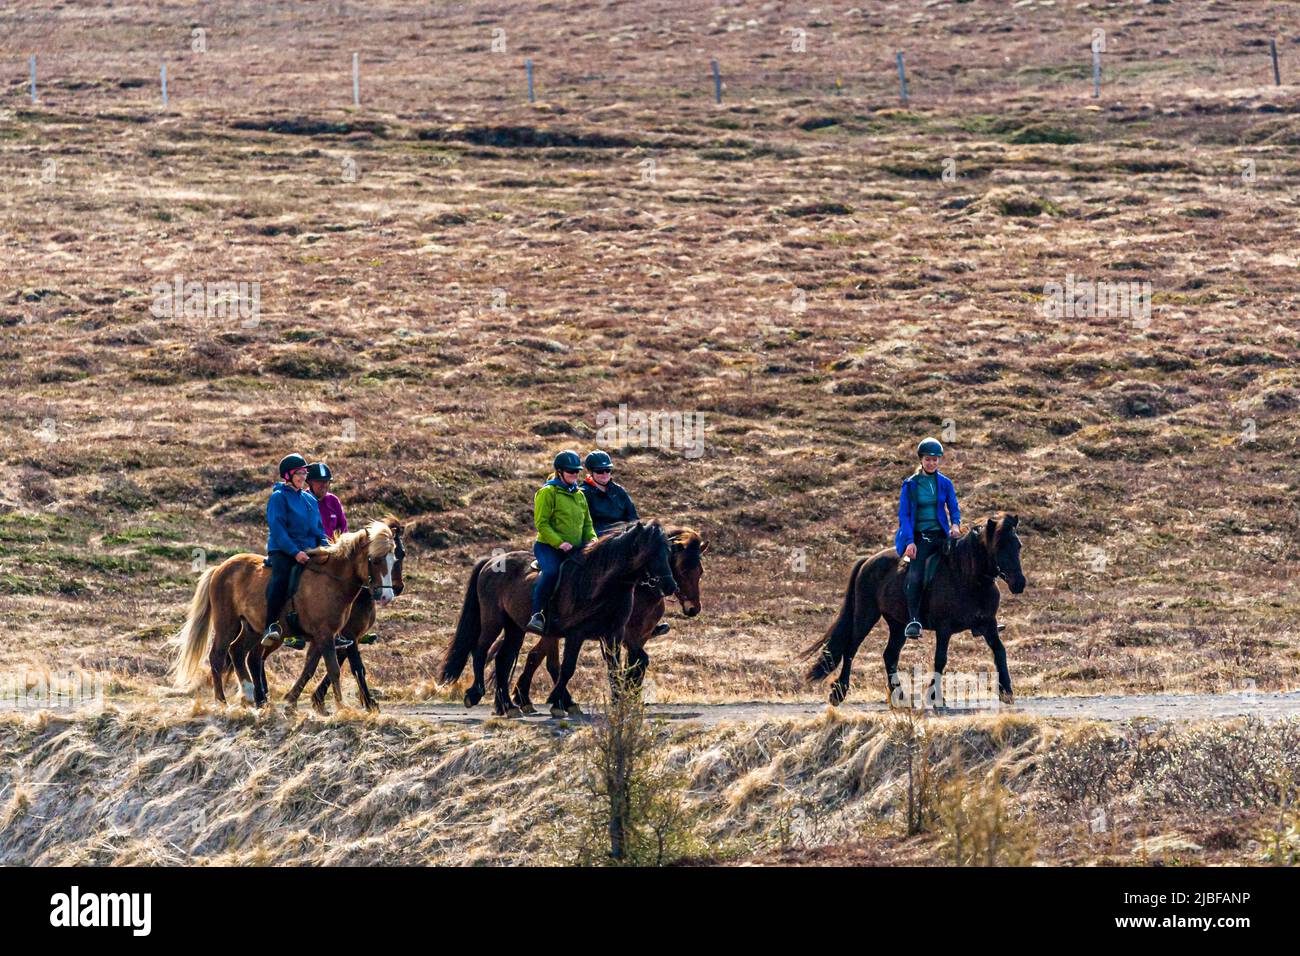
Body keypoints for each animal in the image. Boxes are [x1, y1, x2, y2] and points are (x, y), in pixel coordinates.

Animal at [170, 516, 405, 713]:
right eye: (374, 560)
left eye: (396, 559)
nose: (387, 595)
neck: (331, 581)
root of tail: (220, 568)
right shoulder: (327, 635)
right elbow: (336, 668)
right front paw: (343, 707)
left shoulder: (325, 637)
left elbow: (311, 668)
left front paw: (293, 701)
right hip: (227, 623)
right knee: (218, 656)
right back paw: (223, 702)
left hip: (254, 629)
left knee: (239, 652)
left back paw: (250, 694)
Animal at [439, 520, 678, 718]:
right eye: (648, 553)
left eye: (668, 551)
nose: (670, 586)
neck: (600, 583)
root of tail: (492, 561)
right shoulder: (576, 634)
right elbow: (567, 668)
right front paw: (558, 700)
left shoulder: (614, 635)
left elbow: (615, 668)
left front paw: (618, 702)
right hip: (493, 620)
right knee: (480, 650)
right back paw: (475, 693)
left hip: (515, 628)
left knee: (503, 659)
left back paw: (509, 706)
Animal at [507, 525, 706, 714]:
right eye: (683, 568)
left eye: (700, 571)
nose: (693, 608)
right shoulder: (624, 635)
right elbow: (636, 661)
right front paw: (626, 695)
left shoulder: (636, 636)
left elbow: (635, 663)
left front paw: (629, 696)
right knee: (549, 661)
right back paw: (554, 701)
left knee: (535, 655)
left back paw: (526, 698)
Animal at [803, 513, 1026, 708]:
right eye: (999, 546)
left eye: (1018, 545)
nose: (1019, 583)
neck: (968, 577)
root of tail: (868, 560)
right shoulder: (944, 628)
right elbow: (940, 659)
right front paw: (936, 697)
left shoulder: (988, 624)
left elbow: (999, 651)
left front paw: (1006, 691)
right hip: (865, 615)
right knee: (851, 649)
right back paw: (839, 693)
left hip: (898, 625)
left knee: (890, 655)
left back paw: (900, 697)